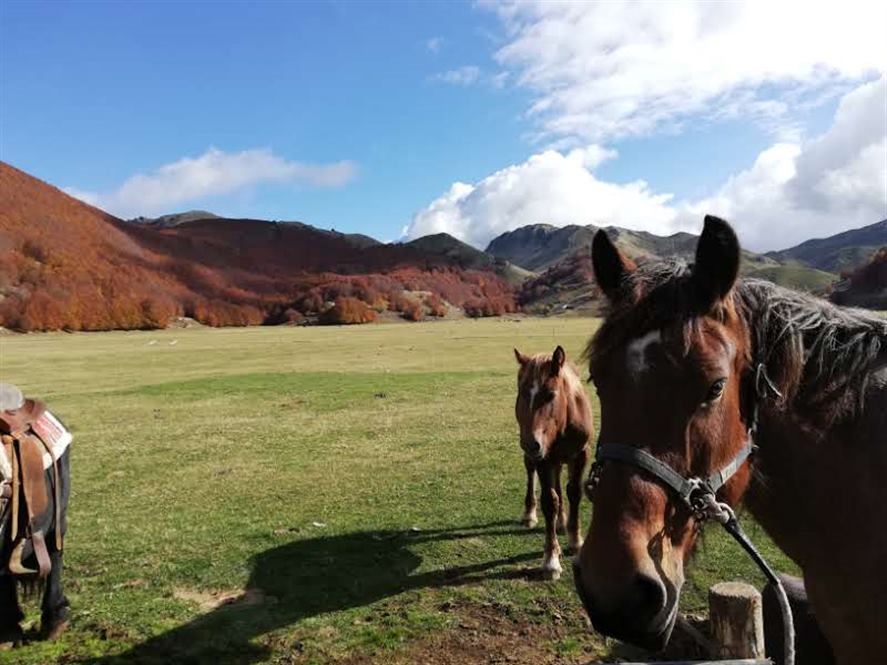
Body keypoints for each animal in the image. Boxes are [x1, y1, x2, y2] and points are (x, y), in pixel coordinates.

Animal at [512, 344, 596, 580]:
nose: (532, 444)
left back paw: (562, 521)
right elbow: (550, 501)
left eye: (550, 394)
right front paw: (551, 560)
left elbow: (574, 492)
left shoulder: (581, 454)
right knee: (532, 473)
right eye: (522, 393)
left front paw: (575, 541)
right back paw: (530, 514)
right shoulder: (544, 458)